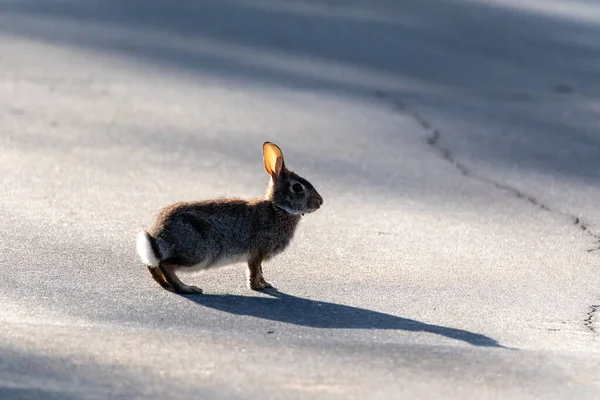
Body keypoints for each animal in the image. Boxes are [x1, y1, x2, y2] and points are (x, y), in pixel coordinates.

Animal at [136, 141, 324, 294]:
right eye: (297, 188)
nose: (320, 202)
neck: (278, 208)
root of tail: (154, 239)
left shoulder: (255, 255)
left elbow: (259, 270)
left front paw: (266, 284)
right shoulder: (256, 252)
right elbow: (255, 270)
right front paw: (258, 287)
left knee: (154, 266)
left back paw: (167, 284)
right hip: (198, 252)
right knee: (165, 265)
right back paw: (187, 288)